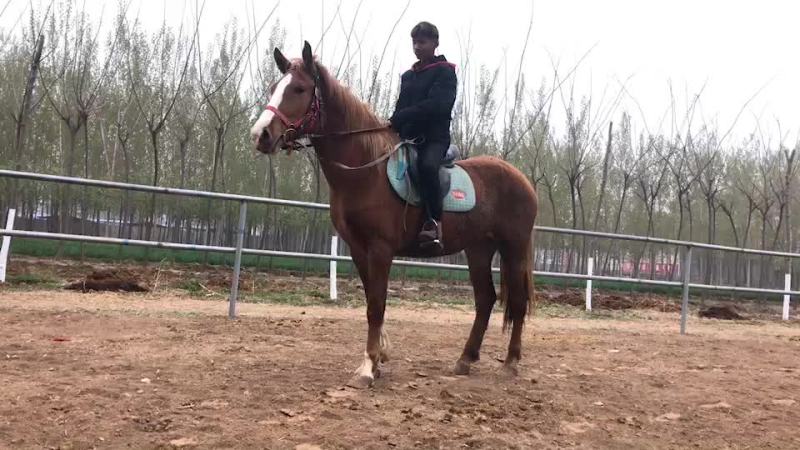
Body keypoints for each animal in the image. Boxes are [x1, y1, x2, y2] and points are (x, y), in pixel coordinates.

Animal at [250, 42, 538, 388]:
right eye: (273, 88)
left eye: (299, 89)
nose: (261, 135)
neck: (365, 170)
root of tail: (521, 179)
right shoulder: (358, 249)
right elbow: (372, 300)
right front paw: (379, 358)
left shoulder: (380, 248)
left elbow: (376, 305)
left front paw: (367, 367)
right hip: (479, 249)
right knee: (485, 300)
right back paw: (465, 360)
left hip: (514, 248)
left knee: (517, 302)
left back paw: (510, 363)